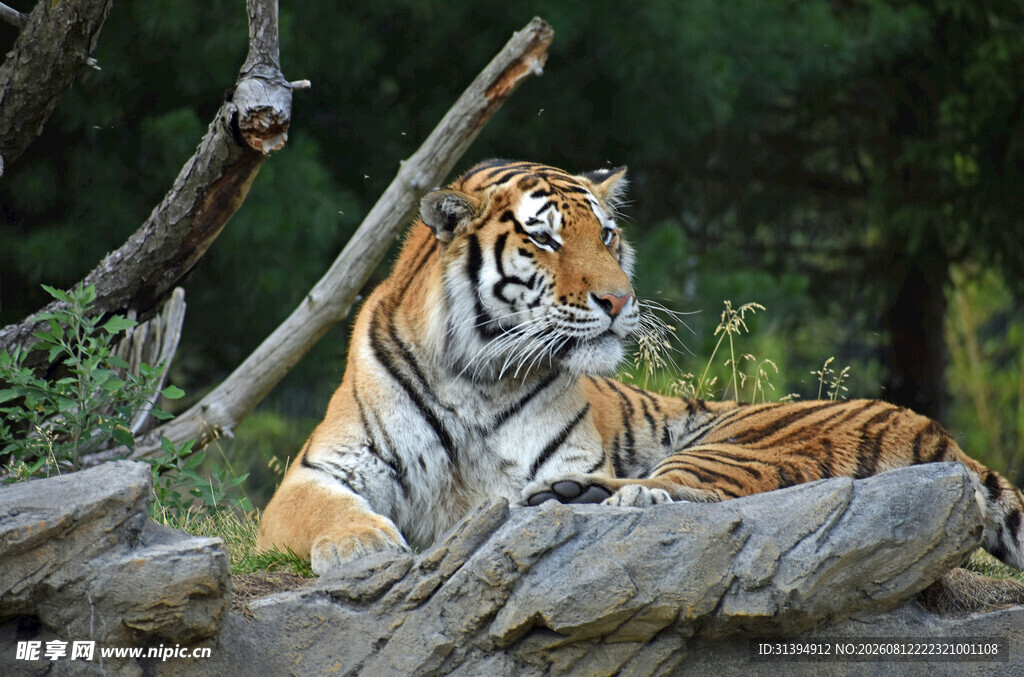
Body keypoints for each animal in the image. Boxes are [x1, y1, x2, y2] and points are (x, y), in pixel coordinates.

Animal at [257, 159, 1024, 576]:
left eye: (607, 234)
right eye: (544, 240)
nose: (619, 299)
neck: (475, 375)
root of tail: (947, 438)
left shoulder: (561, 454)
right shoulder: (322, 470)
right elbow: (322, 509)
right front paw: (361, 545)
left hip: (745, 440)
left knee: (694, 494)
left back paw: (598, 499)